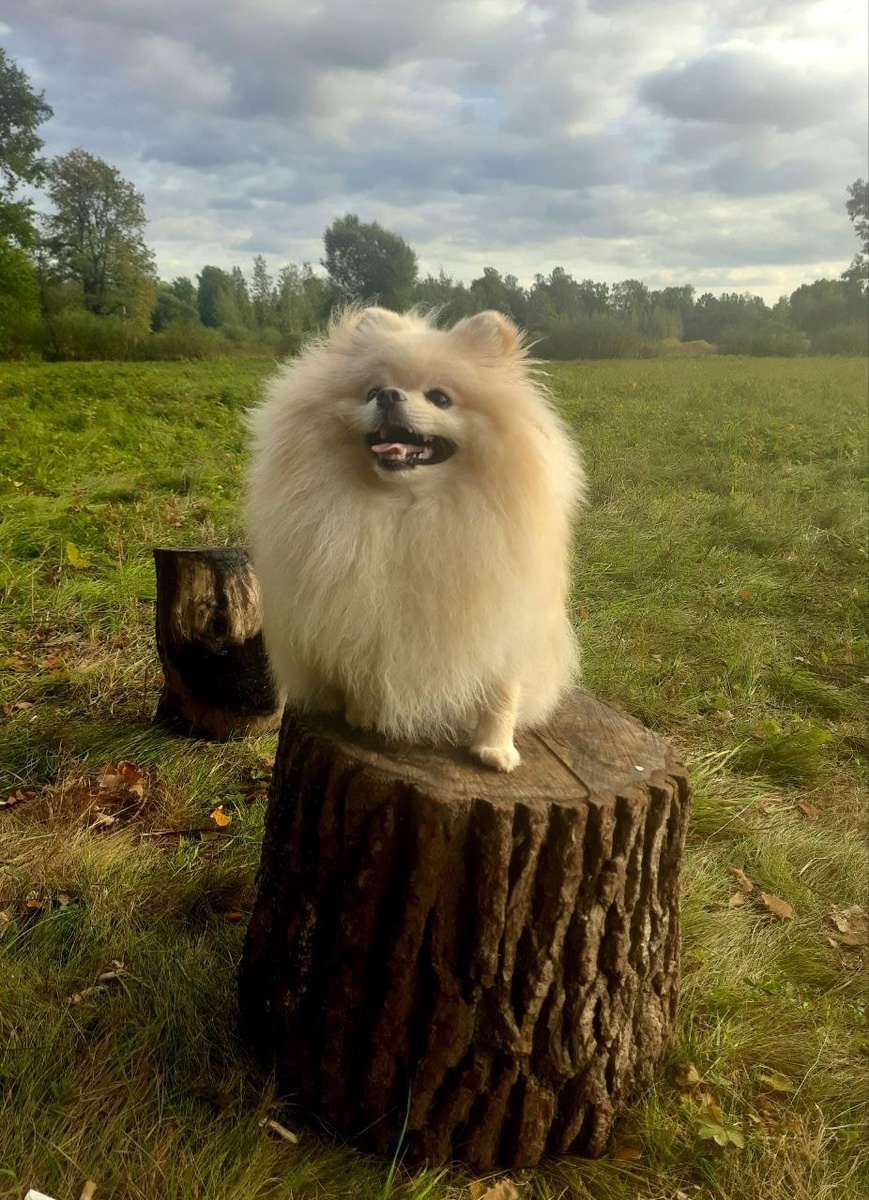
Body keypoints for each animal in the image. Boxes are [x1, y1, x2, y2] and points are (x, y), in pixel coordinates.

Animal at [246, 304, 583, 772]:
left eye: (440, 398)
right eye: (372, 391)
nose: (389, 396)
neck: (409, 510)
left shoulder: (506, 616)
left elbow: (501, 691)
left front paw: (496, 749)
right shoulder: (365, 618)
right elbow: (368, 670)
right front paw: (364, 715)